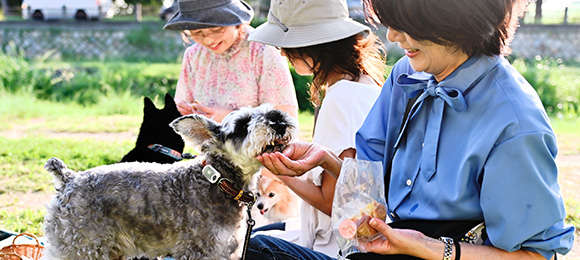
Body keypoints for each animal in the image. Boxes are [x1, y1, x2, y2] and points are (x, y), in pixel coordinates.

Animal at [40, 104, 296, 260]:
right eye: (242, 125)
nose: (278, 120)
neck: (218, 181)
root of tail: (69, 179)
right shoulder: (198, 250)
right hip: (82, 248)